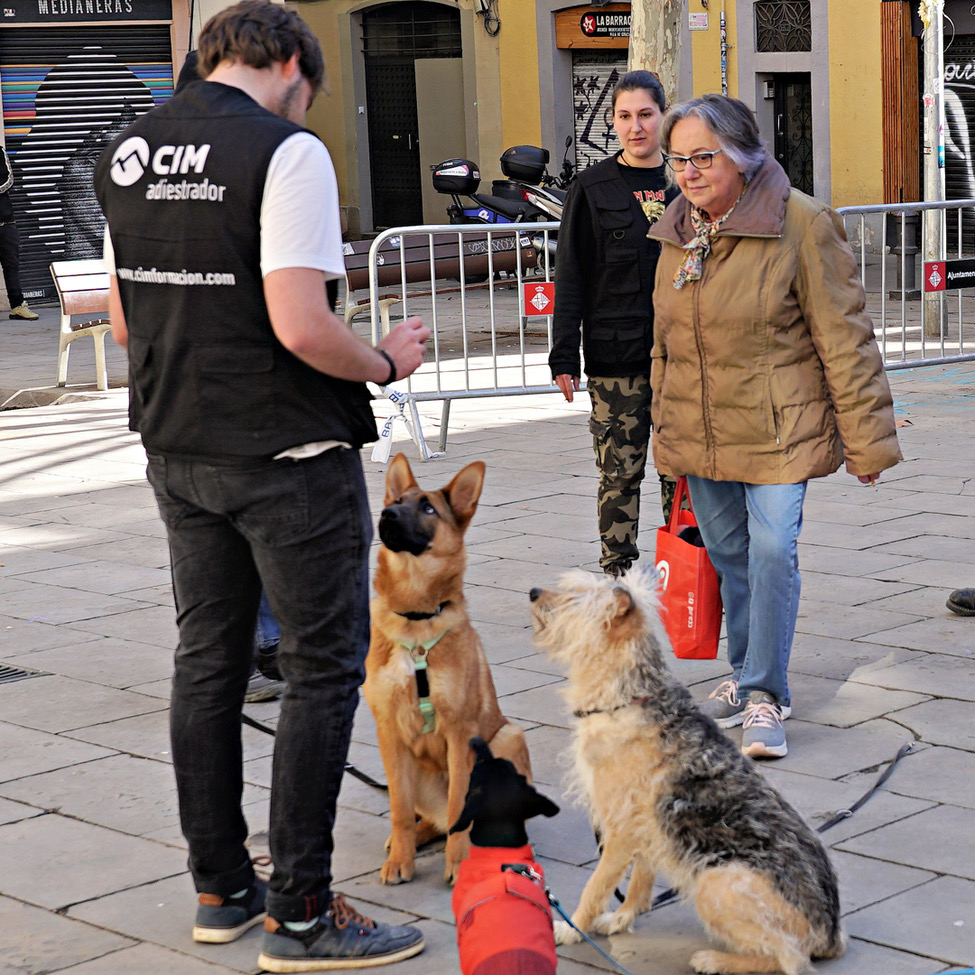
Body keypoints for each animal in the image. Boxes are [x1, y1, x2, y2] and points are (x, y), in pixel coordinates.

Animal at [366, 454, 532, 888]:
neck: (416, 621)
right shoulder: (389, 732)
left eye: (428, 508)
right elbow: (400, 808)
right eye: (397, 500)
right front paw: (401, 859)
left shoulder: (460, 734)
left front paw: (459, 864)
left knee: (466, 818)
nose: (386, 513)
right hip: (414, 768)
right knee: (427, 818)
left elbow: (461, 806)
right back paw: (409, 838)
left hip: (507, 738)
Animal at [528, 564, 848, 975]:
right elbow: (640, 884)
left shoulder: (619, 831)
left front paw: (571, 930)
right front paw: (621, 919)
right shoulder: (646, 828)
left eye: (575, 598)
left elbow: (595, 888)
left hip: (715, 881)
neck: (626, 697)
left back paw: (715, 959)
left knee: (789, 957)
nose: (533, 593)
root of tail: (831, 934)